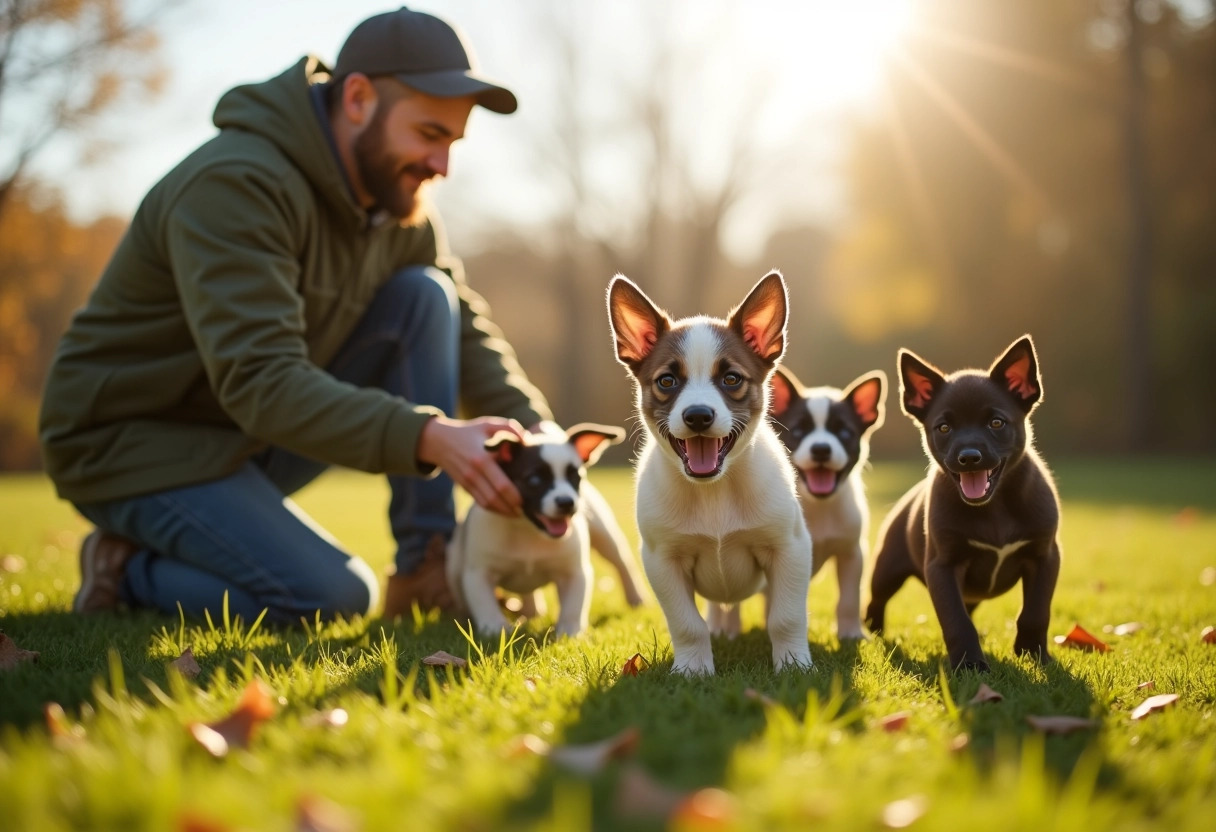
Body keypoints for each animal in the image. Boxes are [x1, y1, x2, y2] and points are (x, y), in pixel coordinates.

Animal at [440, 423, 646, 637]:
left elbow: (573, 606)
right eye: (534, 479)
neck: (529, 529)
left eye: (575, 476)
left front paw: (570, 632)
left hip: (603, 532)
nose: (566, 502)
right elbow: (485, 603)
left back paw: (635, 597)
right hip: (453, 566)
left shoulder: (573, 573)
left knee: (621, 562)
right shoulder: (479, 574)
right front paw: (495, 629)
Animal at [608, 272, 817, 676]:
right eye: (667, 381)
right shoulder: (663, 561)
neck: (714, 491)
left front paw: (793, 665)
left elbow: (786, 617)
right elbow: (687, 624)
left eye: (732, 379)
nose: (698, 416)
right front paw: (694, 670)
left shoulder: (790, 548)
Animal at [773, 367, 890, 642]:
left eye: (844, 433)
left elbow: (849, 599)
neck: (819, 506)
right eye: (797, 431)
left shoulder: (852, 554)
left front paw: (851, 634)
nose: (821, 449)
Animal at [865, 335, 1065, 671]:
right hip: (886, 569)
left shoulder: (1045, 556)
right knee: (877, 599)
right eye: (944, 428)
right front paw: (970, 665)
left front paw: (1034, 654)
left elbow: (1035, 612)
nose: (969, 457)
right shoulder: (943, 566)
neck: (994, 507)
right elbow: (956, 620)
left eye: (996, 422)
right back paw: (871, 631)